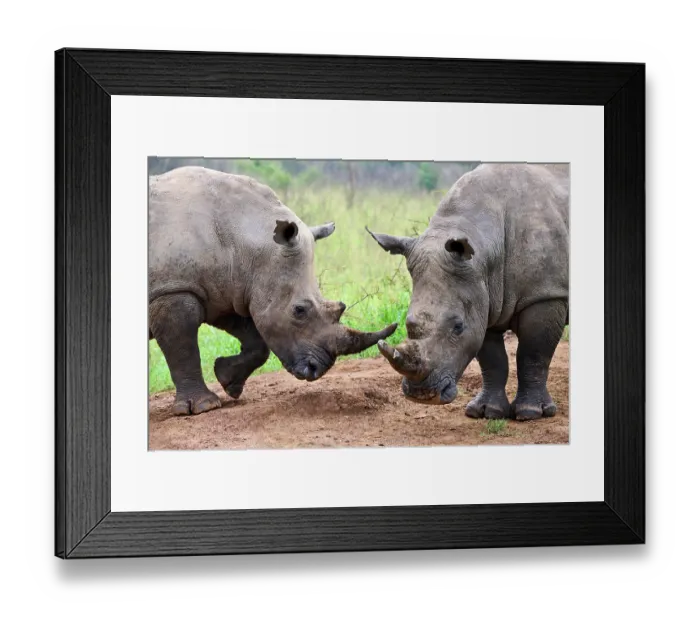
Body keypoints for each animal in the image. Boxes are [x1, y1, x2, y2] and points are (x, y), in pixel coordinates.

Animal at [149, 166, 396, 415]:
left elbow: (257, 341)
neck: (246, 240)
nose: (316, 369)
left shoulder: (230, 289)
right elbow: (183, 349)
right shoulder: (172, 289)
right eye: (299, 310)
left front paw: (228, 381)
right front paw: (203, 407)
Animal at [367, 163, 569, 421]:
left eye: (458, 326)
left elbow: (533, 354)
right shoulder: (483, 297)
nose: (422, 395)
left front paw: (530, 413)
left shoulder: (546, 293)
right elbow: (492, 359)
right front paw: (486, 412)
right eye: (408, 323)